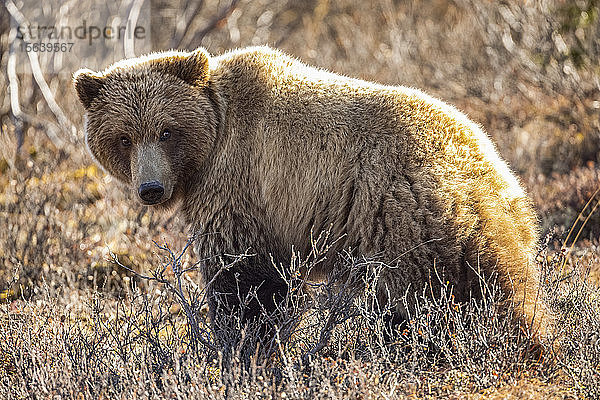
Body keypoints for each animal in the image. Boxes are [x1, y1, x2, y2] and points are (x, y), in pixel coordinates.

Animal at [72, 45, 552, 348]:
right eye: (123, 137)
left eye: (167, 131)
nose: (150, 189)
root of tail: (488, 174)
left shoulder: (243, 183)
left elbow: (242, 278)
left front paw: (241, 343)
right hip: (489, 222)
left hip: (402, 216)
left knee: (419, 297)